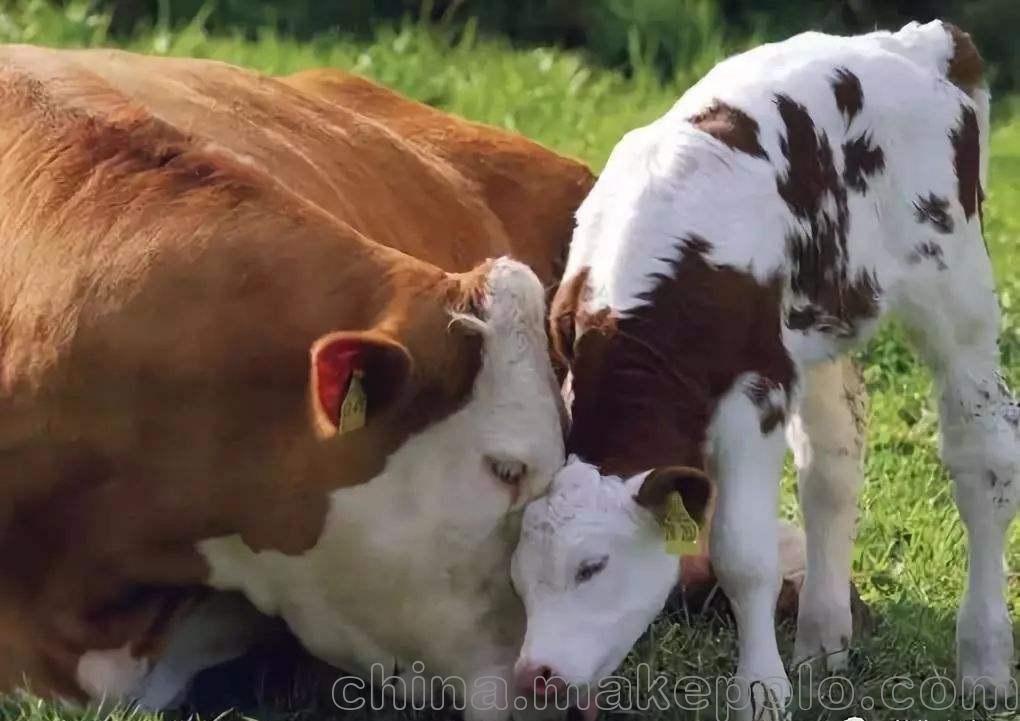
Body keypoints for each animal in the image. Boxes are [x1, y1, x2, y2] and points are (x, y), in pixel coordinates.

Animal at [510, 21, 1011, 721]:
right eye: (518, 579)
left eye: (593, 566)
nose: (536, 676)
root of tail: (926, 41)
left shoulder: (754, 394)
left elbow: (741, 556)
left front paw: (760, 691)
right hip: (818, 325)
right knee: (833, 462)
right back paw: (822, 645)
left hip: (954, 284)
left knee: (983, 458)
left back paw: (985, 665)